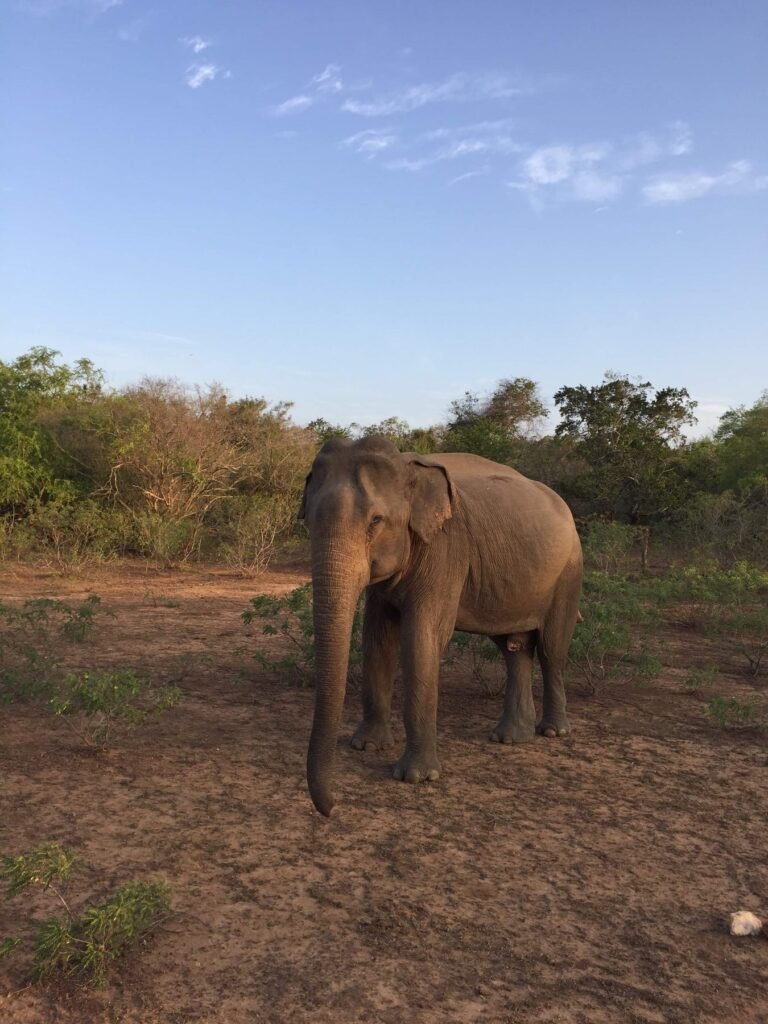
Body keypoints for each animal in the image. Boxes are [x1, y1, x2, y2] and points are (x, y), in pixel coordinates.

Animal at [299, 436, 583, 816]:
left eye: (376, 521)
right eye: (308, 522)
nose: (334, 808)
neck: (409, 468)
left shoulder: (446, 549)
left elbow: (422, 638)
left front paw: (415, 778)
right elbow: (377, 638)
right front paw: (368, 746)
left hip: (569, 572)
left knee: (552, 649)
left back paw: (552, 732)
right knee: (514, 649)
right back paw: (509, 738)